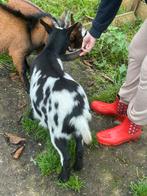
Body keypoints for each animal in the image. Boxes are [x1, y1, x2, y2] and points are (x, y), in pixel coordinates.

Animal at [29, 20, 92, 182]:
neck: (50, 53)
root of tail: (76, 112)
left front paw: (30, 118)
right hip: (79, 130)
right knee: (80, 149)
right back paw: (78, 167)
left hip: (57, 134)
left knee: (66, 157)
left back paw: (63, 177)